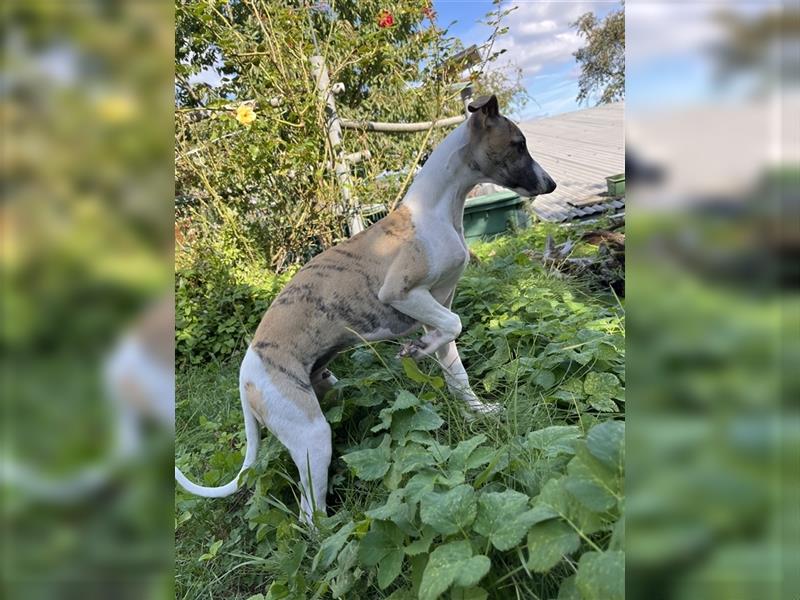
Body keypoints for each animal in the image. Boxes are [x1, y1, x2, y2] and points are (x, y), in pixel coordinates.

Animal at [175, 94, 556, 520]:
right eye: (518, 144)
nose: (551, 184)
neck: (435, 211)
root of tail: (246, 375)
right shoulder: (402, 293)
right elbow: (454, 325)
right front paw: (416, 351)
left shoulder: (437, 304)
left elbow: (456, 368)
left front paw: (478, 411)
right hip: (311, 433)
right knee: (309, 515)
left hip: (320, 395)